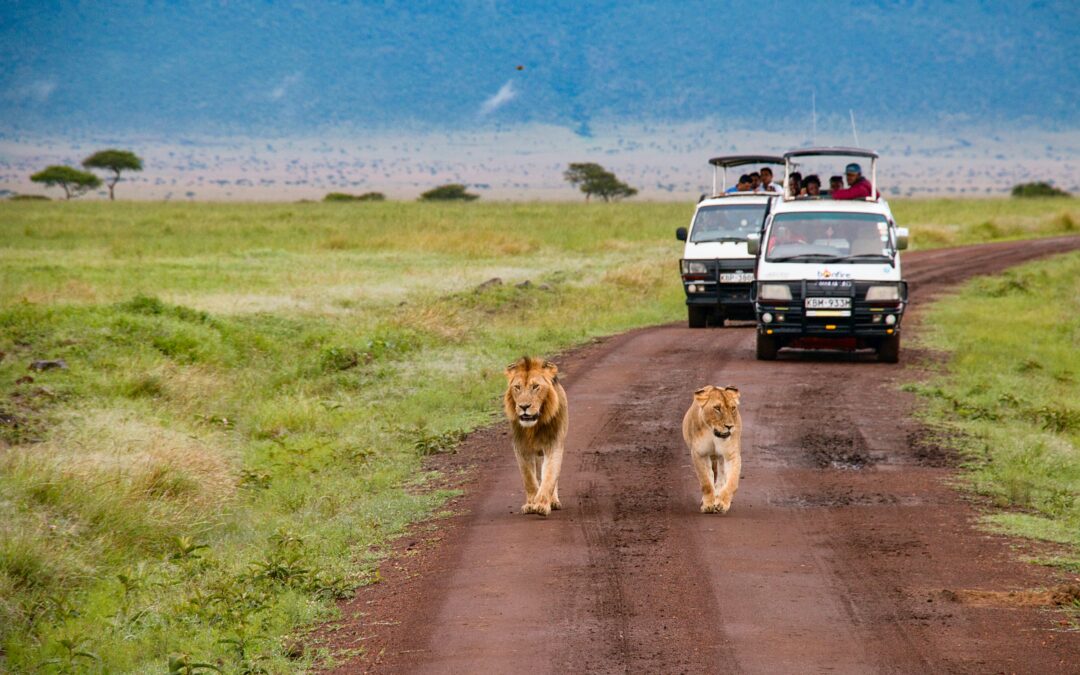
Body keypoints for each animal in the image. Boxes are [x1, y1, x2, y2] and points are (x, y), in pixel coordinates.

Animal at [505, 352, 570, 516]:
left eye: (535, 387)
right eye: (517, 387)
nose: (524, 406)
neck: (533, 427)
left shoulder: (554, 446)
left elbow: (549, 476)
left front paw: (541, 505)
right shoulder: (521, 448)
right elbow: (529, 479)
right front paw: (531, 504)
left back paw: (554, 501)